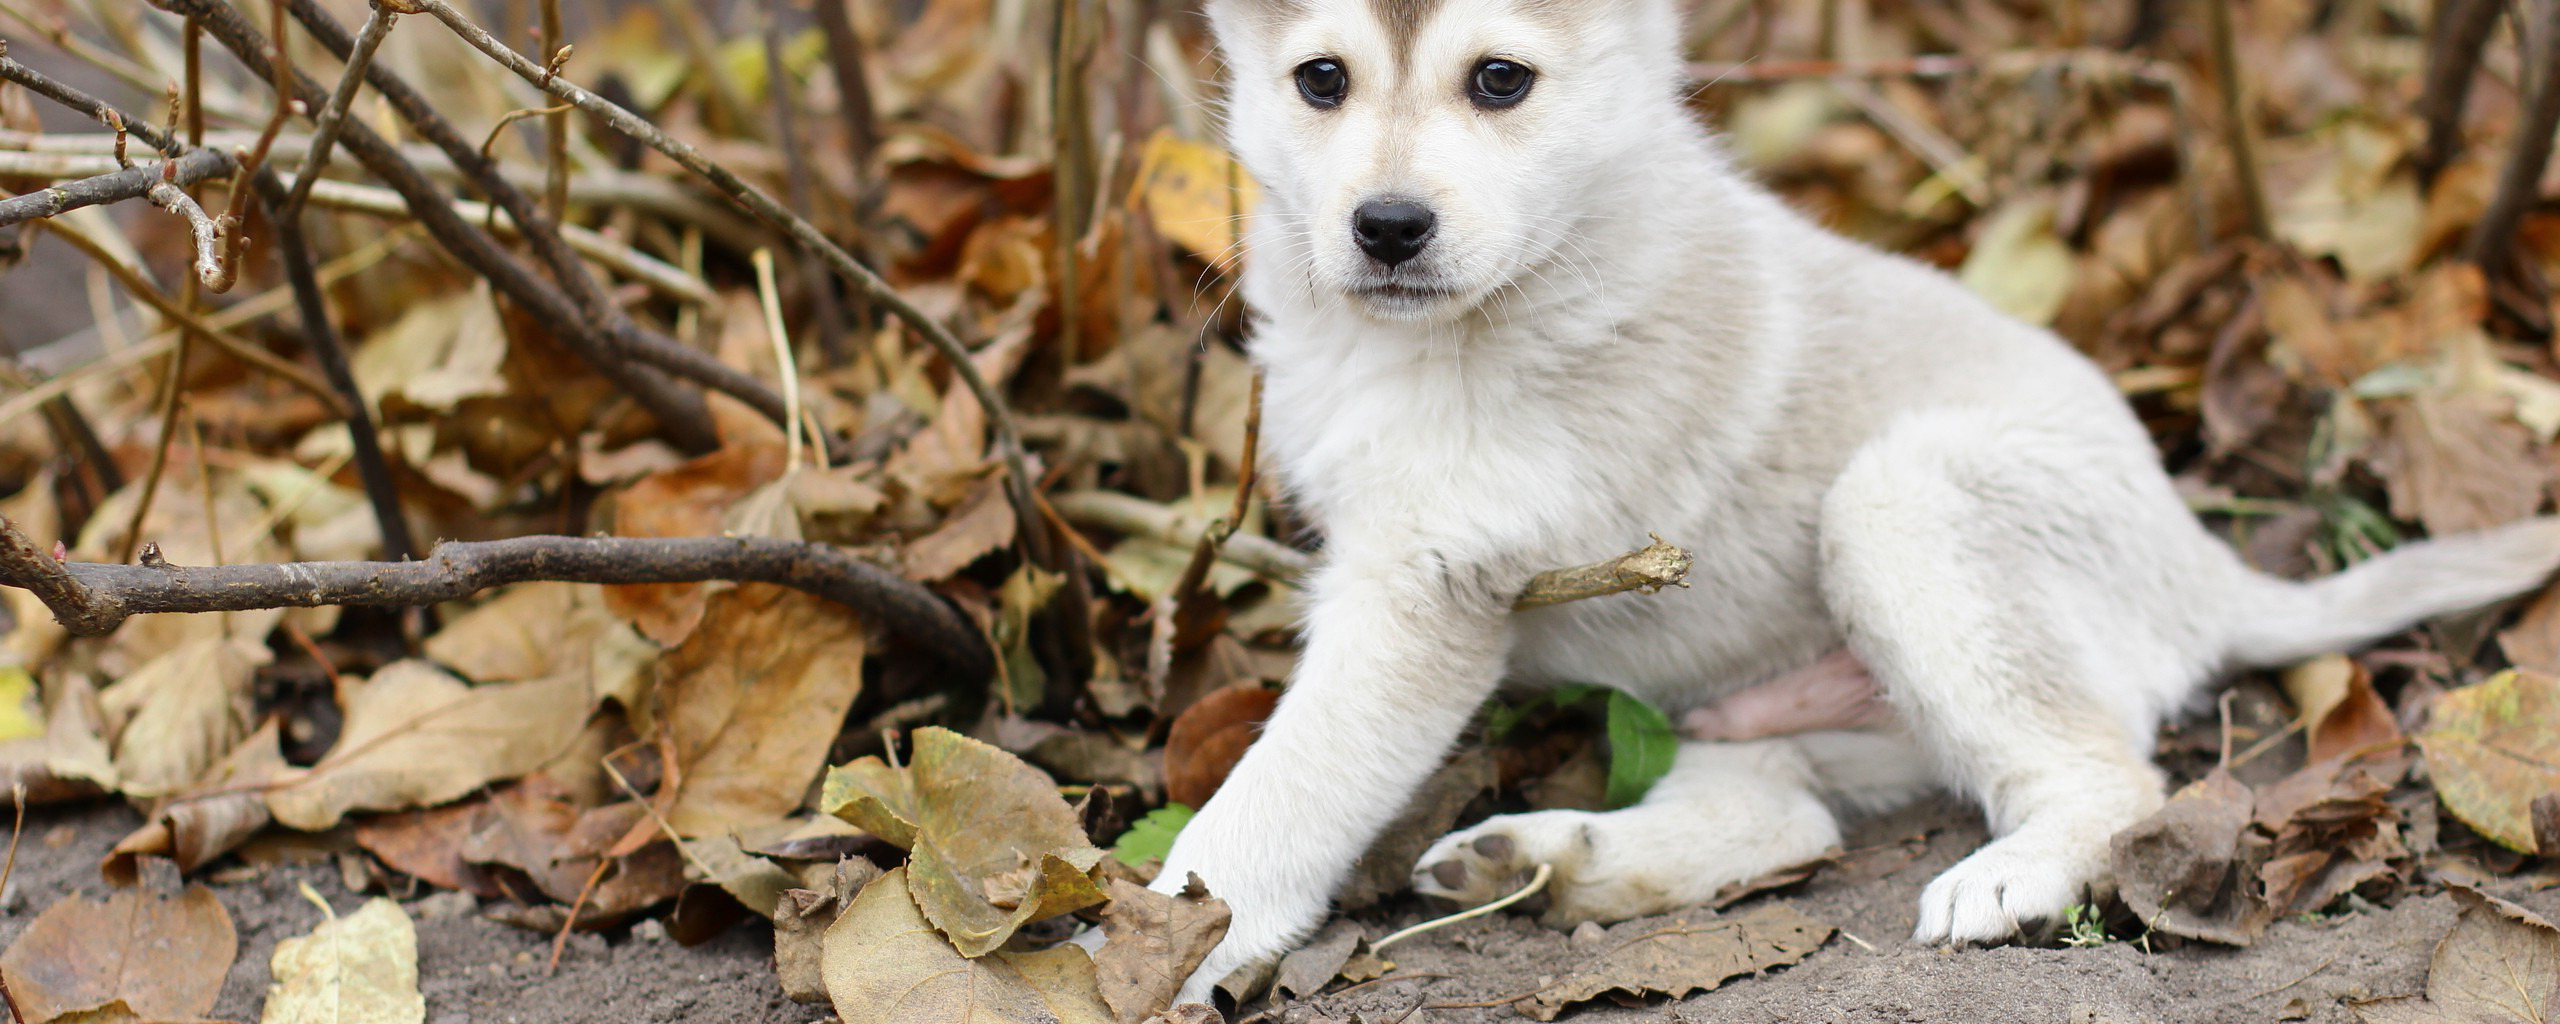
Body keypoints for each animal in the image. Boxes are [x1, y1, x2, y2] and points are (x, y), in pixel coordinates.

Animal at [1157, 0, 2560, 1003]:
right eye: (1320, 80)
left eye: (1499, 80)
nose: (1387, 226)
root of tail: (2202, 562)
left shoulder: (1425, 589)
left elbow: (1279, 794)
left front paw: (1179, 928)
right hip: (1753, 699)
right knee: (1779, 815)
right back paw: (1550, 864)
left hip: (1897, 504)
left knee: (2109, 776)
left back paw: (2009, 879)